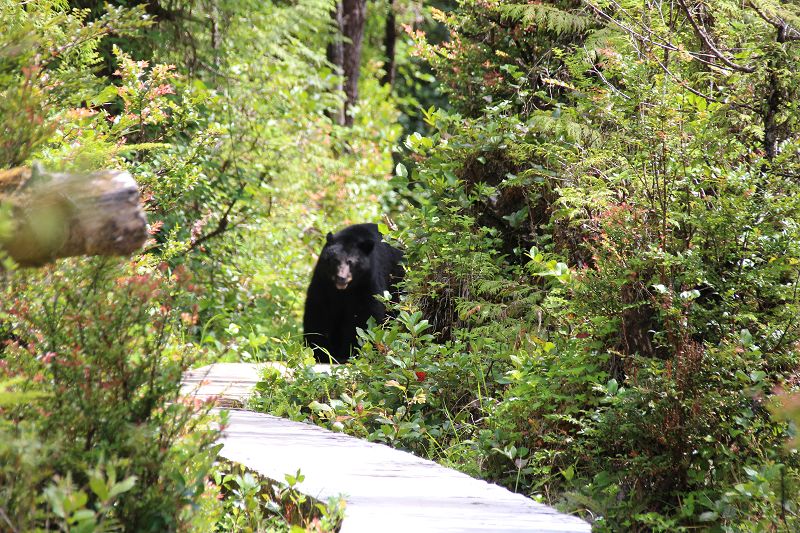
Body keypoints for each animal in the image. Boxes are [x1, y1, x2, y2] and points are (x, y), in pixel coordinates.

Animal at [304, 222, 404, 364]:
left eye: (350, 262)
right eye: (334, 260)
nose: (341, 278)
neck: (344, 290)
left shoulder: (367, 282)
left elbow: (364, 317)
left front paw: (352, 352)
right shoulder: (323, 282)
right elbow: (319, 313)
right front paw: (321, 352)